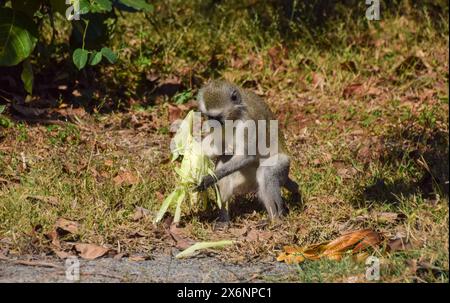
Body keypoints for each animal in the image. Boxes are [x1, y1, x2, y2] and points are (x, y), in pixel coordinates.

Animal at [196, 79, 298, 224]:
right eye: (209, 117)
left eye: (217, 118)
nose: (211, 125)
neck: (236, 114)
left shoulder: (248, 123)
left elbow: (246, 156)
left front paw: (209, 178)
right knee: (225, 164)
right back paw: (224, 221)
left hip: (283, 165)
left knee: (266, 173)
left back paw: (275, 219)